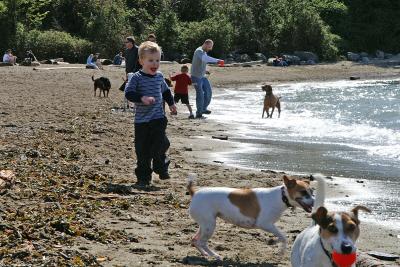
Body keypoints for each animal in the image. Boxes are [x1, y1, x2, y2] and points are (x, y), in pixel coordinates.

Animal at [186, 174, 314, 260]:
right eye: (303, 192)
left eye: (312, 192)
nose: (314, 201)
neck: (281, 197)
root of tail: (195, 193)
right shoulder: (265, 224)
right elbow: (283, 236)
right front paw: (280, 249)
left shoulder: (270, 225)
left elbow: (281, 236)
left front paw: (273, 241)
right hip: (209, 225)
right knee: (202, 242)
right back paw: (215, 255)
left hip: (205, 224)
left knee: (195, 240)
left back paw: (205, 254)